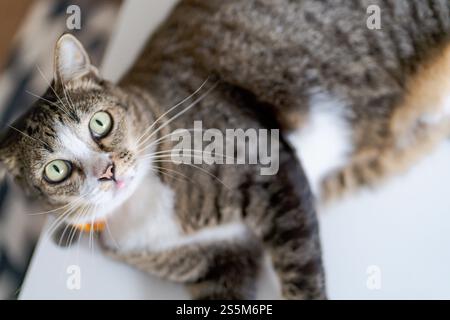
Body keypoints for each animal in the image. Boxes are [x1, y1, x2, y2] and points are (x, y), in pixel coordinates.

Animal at [0, 0, 450, 300]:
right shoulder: (219, 265)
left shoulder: (270, 167)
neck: (146, 203)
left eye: (100, 123)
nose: (107, 171)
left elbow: (301, 267)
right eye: (56, 170)